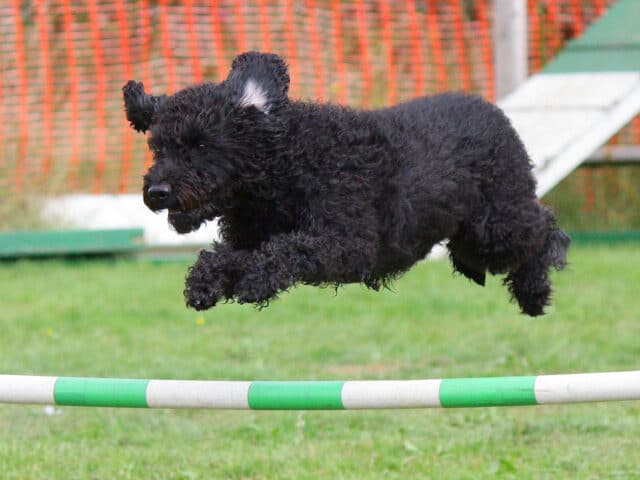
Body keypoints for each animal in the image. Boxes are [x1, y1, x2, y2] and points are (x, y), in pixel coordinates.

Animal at [121, 51, 568, 316]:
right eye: (158, 147)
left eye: (200, 143)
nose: (156, 192)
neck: (285, 168)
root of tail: (494, 112)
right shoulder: (248, 238)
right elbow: (225, 255)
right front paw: (205, 282)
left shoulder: (350, 245)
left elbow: (287, 249)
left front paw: (256, 280)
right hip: (471, 239)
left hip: (495, 227)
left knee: (544, 228)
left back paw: (534, 291)